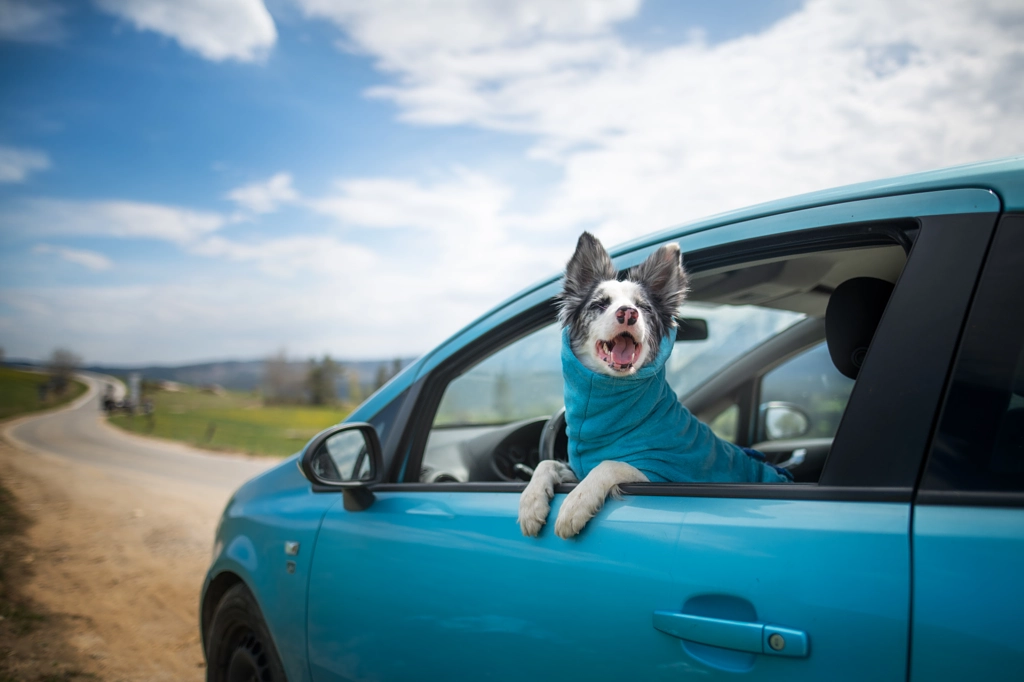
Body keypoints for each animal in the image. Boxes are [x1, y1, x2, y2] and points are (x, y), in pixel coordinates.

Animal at [520, 232, 790, 536]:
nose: (628, 313)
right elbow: (546, 462)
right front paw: (530, 504)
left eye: (644, 307)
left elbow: (610, 464)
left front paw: (575, 504)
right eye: (600, 304)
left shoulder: (661, 472)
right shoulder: (577, 468)